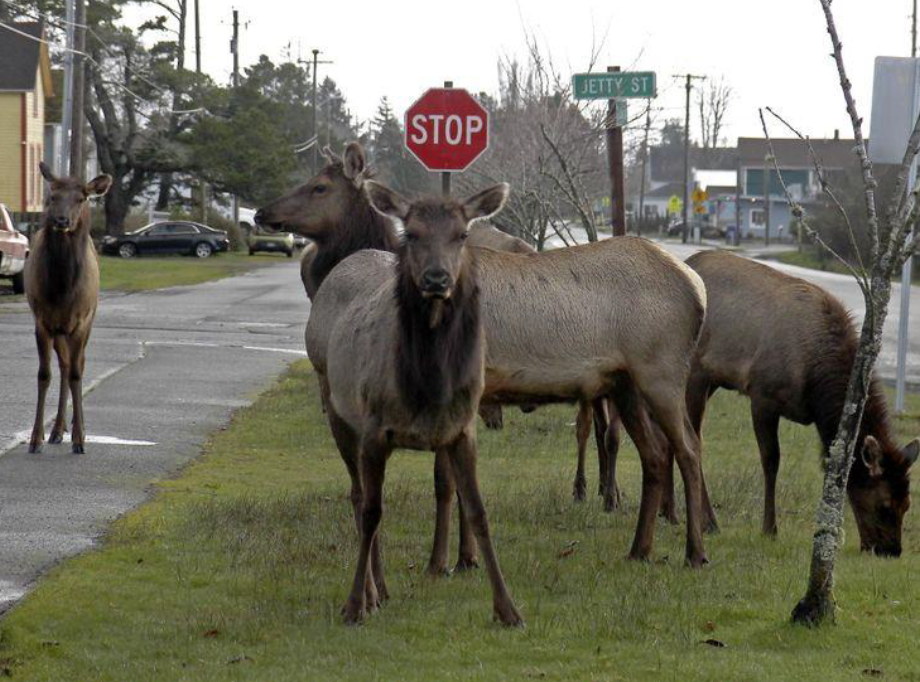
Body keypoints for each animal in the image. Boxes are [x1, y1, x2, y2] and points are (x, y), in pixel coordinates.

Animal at [25, 162, 112, 454]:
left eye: (81, 198)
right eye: (52, 196)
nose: (61, 220)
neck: (62, 290)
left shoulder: (82, 321)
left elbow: (76, 373)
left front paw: (79, 439)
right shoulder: (42, 321)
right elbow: (44, 375)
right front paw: (35, 438)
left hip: (88, 320)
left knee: (77, 365)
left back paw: (74, 428)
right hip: (60, 330)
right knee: (63, 365)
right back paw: (56, 430)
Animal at [660, 252, 920, 556]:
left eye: (907, 505)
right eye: (884, 506)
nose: (891, 550)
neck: (817, 383)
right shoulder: (763, 395)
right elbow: (771, 460)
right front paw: (769, 528)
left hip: (709, 378)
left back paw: (669, 512)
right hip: (696, 372)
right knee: (693, 439)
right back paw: (707, 521)